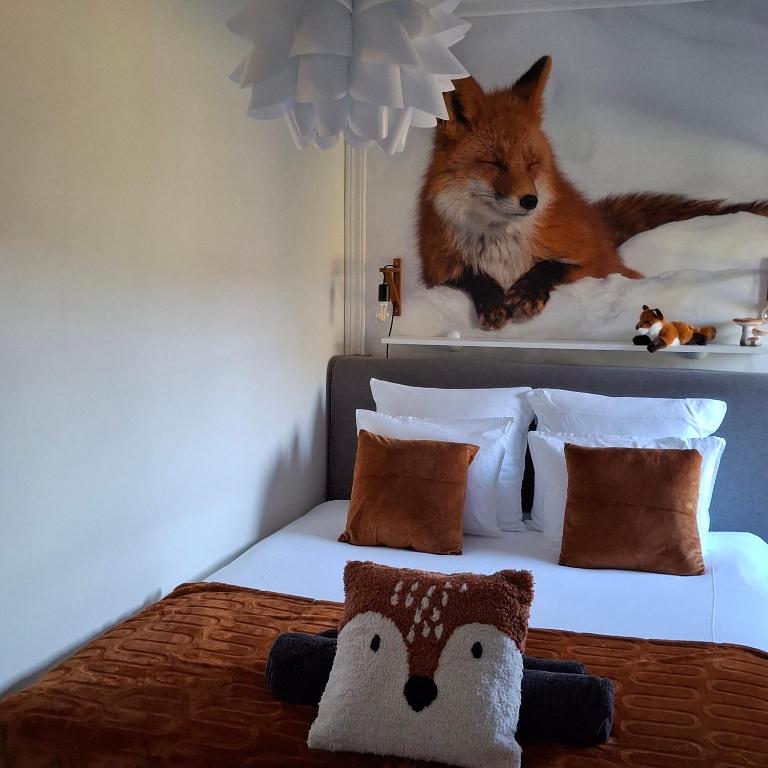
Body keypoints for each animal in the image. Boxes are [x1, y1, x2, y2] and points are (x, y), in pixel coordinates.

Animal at [417, 56, 768, 330]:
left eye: (532, 163)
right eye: (494, 163)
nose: (531, 201)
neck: (503, 248)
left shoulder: (600, 266)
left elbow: (552, 265)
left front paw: (527, 293)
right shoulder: (435, 271)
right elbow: (468, 275)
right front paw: (492, 301)